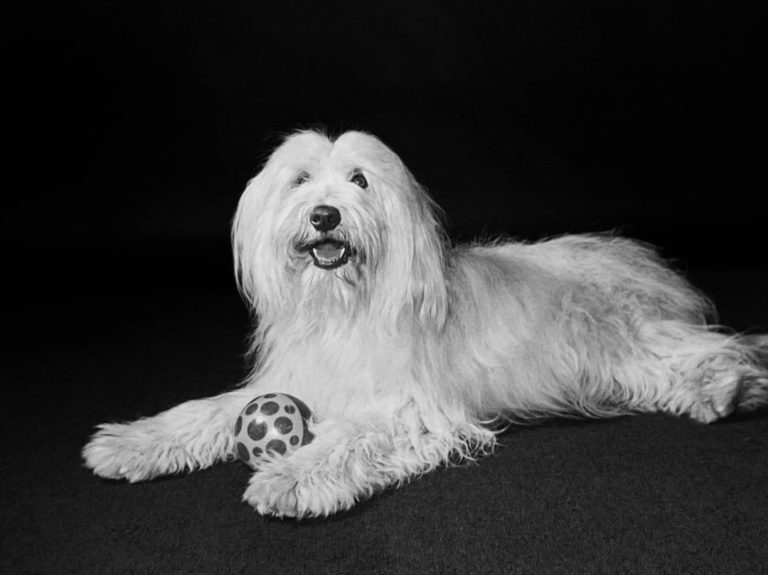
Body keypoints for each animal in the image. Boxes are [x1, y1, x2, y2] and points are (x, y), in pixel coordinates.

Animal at [84, 129, 768, 516]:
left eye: (360, 180)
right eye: (300, 180)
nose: (325, 215)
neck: (346, 308)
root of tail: (643, 263)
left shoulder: (412, 411)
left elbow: (352, 436)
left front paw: (292, 477)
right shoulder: (294, 384)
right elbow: (209, 411)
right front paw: (132, 443)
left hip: (626, 343)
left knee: (720, 349)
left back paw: (727, 389)